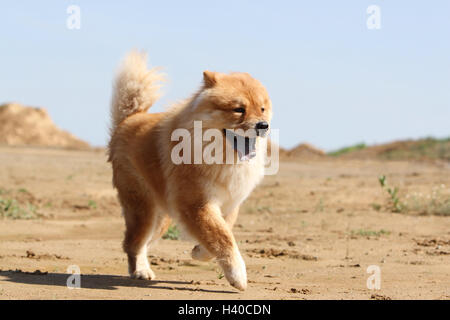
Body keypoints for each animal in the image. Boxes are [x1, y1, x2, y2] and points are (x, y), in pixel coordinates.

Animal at [107, 50, 272, 290]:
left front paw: (199, 252)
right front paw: (238, 276)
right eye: (238, 109)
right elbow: (223, 238)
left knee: (143, 243)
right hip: (144, 209)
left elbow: (221, 232)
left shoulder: (229, 203)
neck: (223, 157)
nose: (263, 125)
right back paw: (140, 271)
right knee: (133, 243)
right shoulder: (197, 204)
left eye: (262, 109)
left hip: (162, 216)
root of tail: (129, 118)